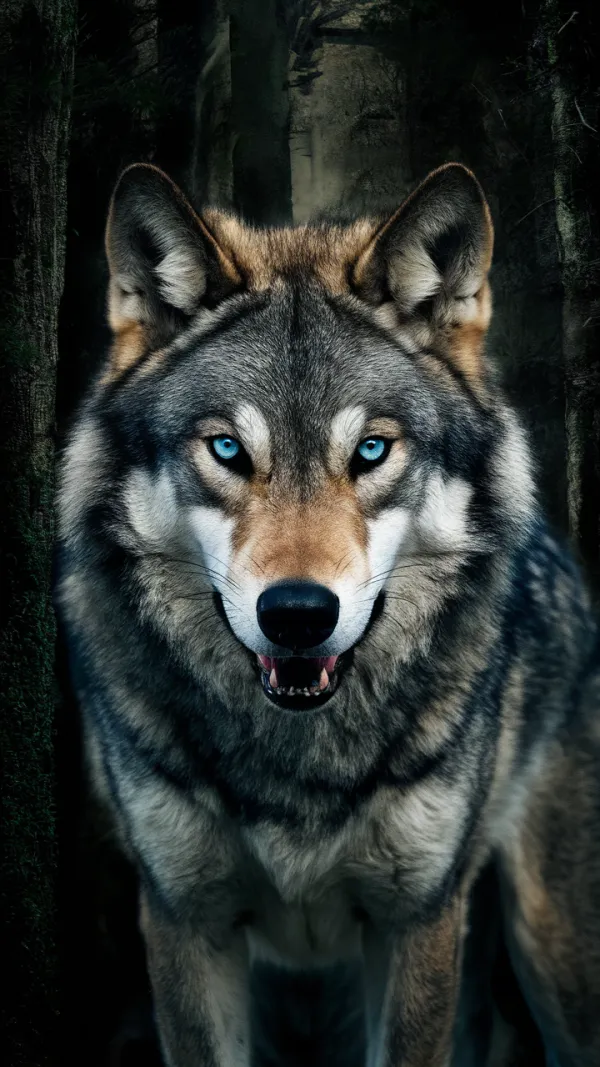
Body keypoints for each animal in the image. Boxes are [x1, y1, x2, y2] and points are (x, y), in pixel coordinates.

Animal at [55, 160, 600, 1067]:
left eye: (372, 450)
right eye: (228, 449)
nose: (299, 613)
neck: (298, 766)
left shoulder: (416, 923)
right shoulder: (184, 922)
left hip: (553, 950)